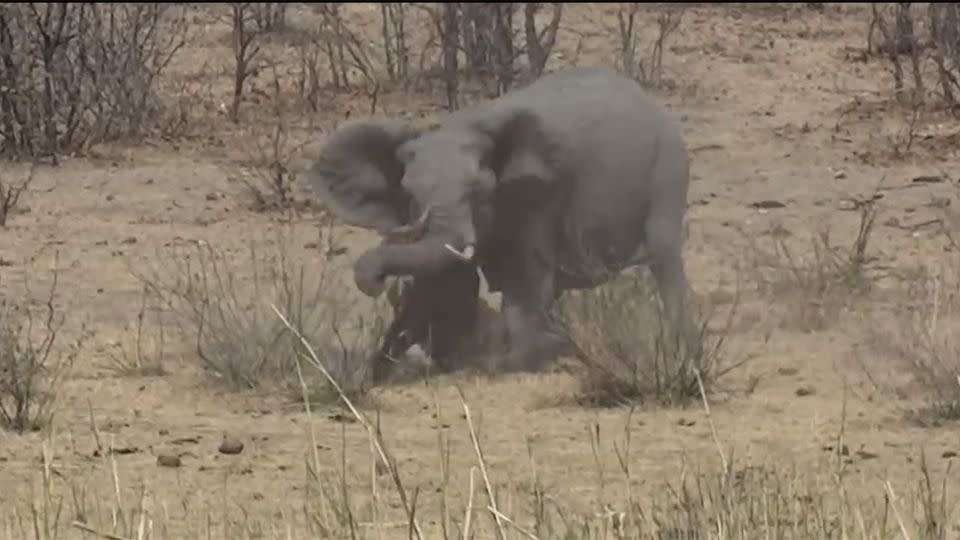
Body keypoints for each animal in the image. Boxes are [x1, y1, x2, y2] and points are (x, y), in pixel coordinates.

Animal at [310, 65, 704, 374]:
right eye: (409, 194)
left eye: (480, 191)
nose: (379, 281)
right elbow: (443, 281)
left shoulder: (537, 197)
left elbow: (524, 285)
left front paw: (512, 359)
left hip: (668, 169)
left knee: (665, 258)